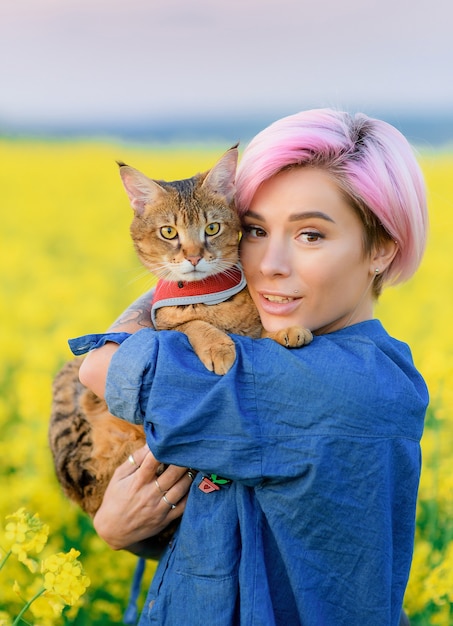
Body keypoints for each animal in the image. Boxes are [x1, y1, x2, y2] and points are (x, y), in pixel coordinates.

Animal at [48, 145, 310, 552]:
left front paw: (284, 330)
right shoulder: (166, 324)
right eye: (168, 232)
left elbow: (258, 329)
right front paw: (219, 345)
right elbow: (193, 325)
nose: (193, 255)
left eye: (212, 228)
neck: (210, 297)